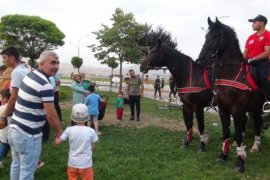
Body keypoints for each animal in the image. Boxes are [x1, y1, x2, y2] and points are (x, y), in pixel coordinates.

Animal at [196, 17, 264, 173]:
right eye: (206, 36)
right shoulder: (223, 109)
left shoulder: (237, 109)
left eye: (215, 36)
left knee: (257, 124)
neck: (230, 73)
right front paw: (224, 155)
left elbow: (237, 134)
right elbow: (226, 132)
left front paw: (240, 162)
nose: (200, 60)